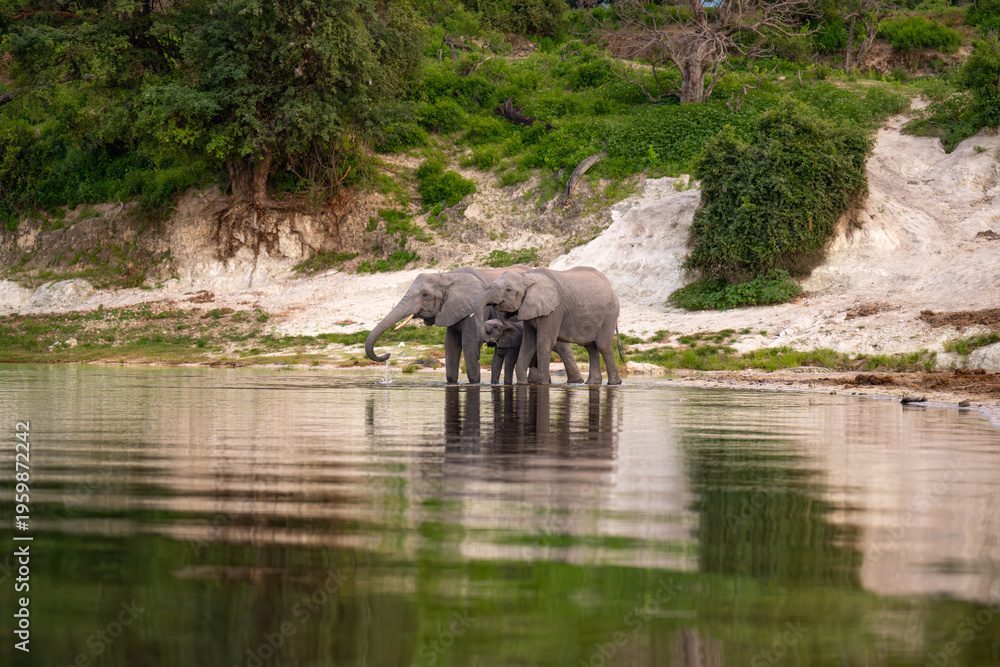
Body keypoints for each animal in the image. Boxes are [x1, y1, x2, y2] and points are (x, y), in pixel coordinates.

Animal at [365, 268, 584, 384]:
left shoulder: (470, 309)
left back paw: (574, 383)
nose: (387, 354)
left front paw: (475, 383)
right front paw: (452, 382)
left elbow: (469, 344)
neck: (447, 276)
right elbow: (450, 345)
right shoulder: (452, 310)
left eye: (425, 295)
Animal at [474, 266, 623, 386]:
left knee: (603, 346)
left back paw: (614, 383)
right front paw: (522, 384)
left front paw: (543, 384)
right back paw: (592, 383)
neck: (526, 277)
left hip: (610, 314)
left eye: (508, 290)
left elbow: (543, 342)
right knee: (591, 347)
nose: (490, 341)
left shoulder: (554, 311)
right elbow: (528, 343)